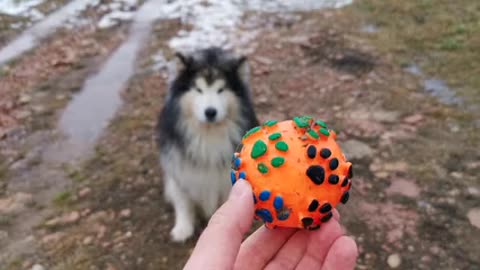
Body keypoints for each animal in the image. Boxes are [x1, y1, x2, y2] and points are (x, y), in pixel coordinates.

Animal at [157, 47, 258, 242]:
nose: (210, 112)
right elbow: (183, 201)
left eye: (221, 89)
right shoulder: (180, 169)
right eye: (198, 89)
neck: (208, 134)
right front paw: (183, 228)